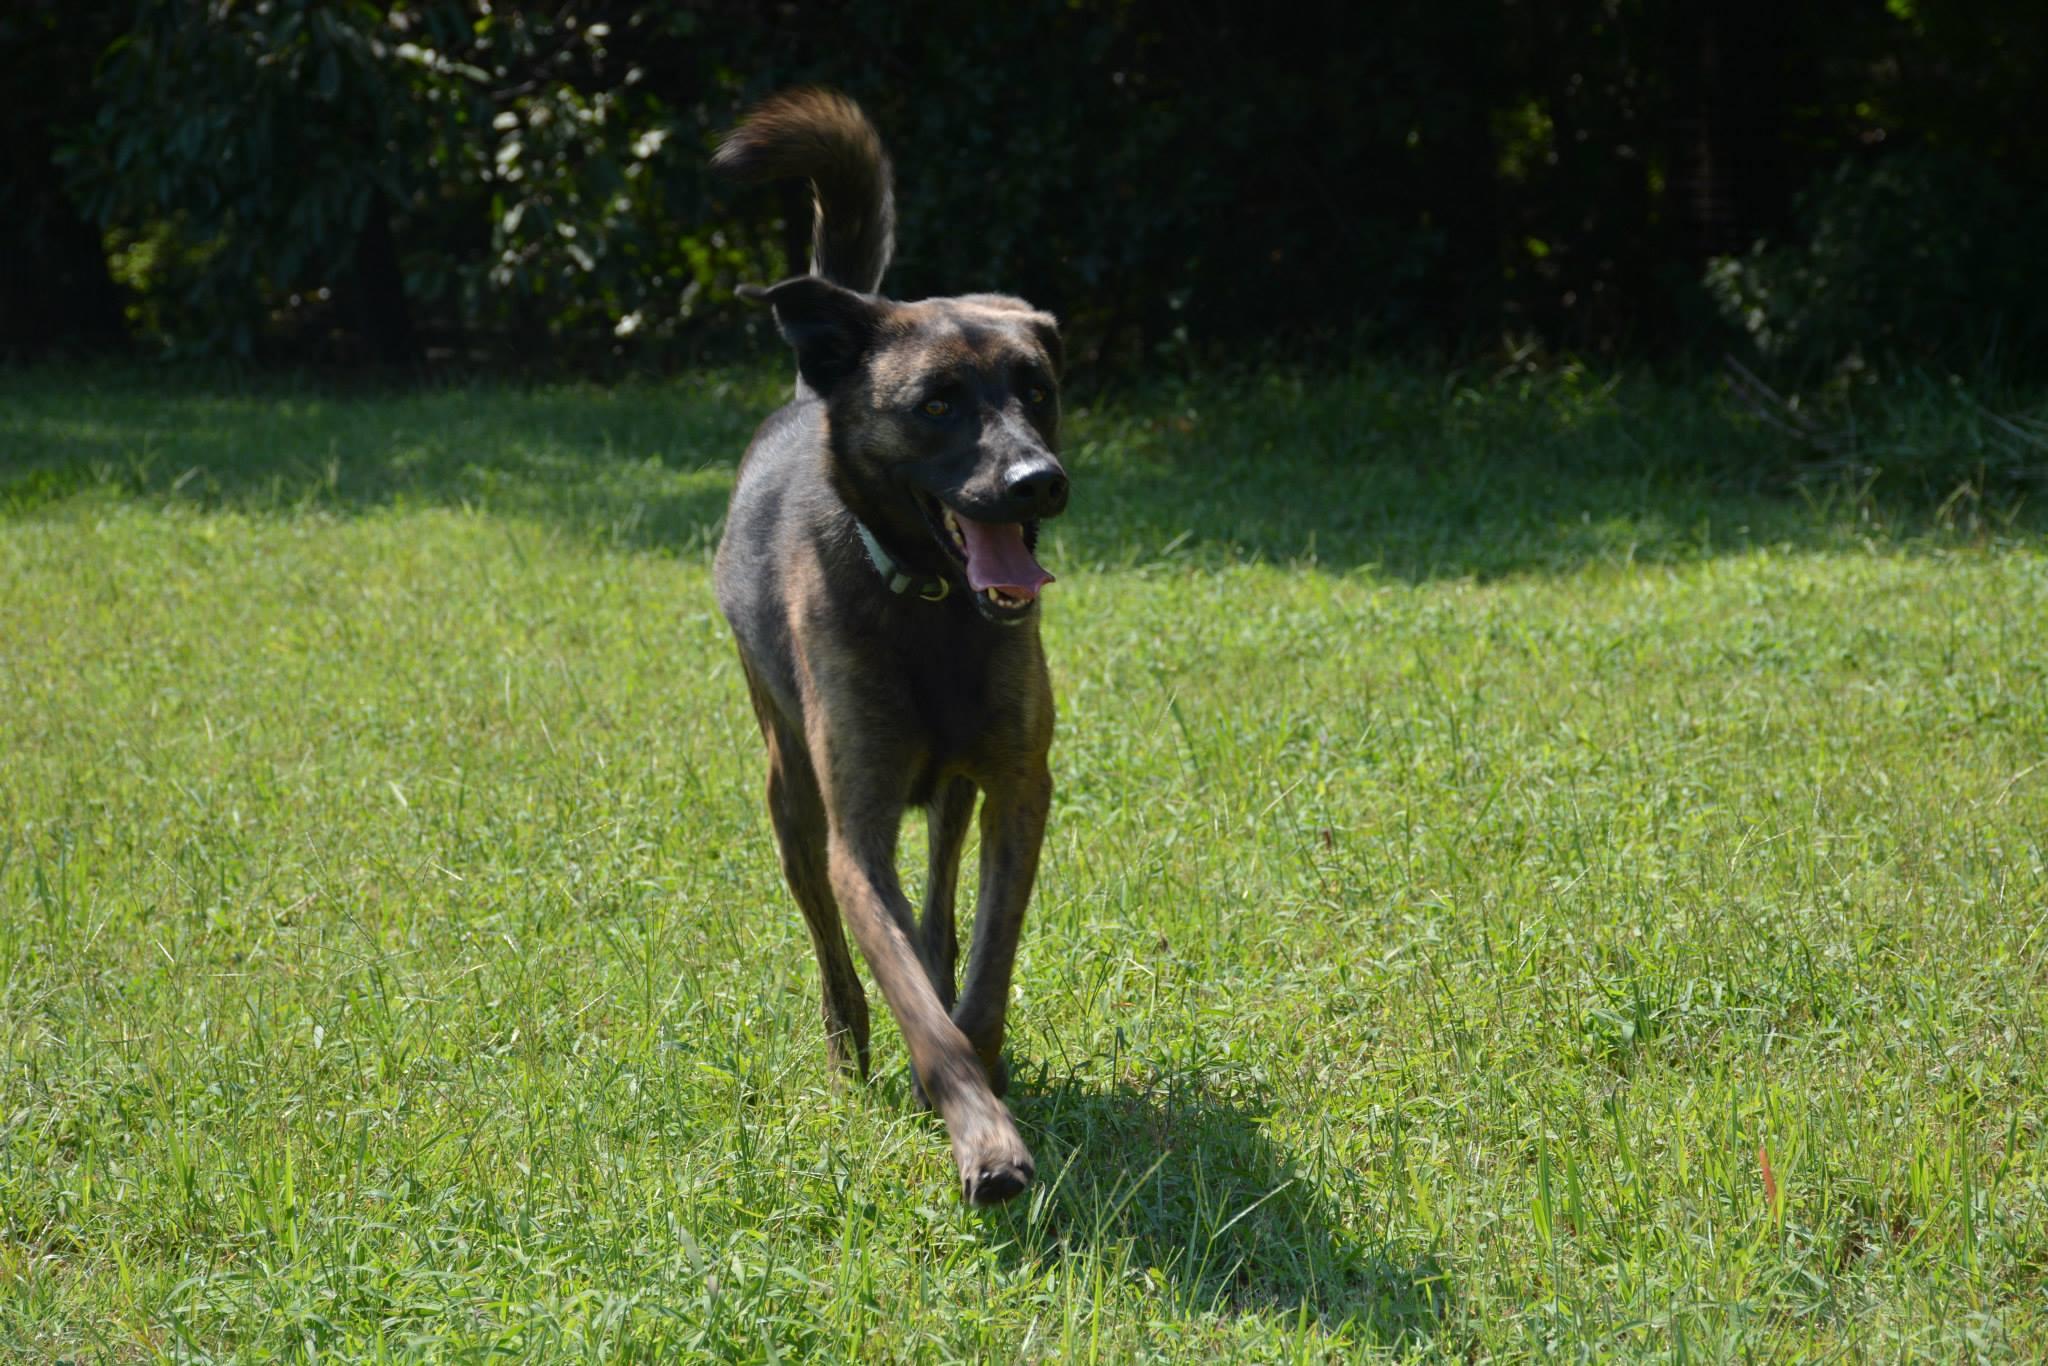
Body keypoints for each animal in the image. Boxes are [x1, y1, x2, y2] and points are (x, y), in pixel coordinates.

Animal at [712, 88, 1073, 1204]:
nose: (1040, 482)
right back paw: (851, 1052)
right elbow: (914, 1001)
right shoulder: (855, 830)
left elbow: (983, 974)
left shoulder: (1017, 787)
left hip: (952, 793)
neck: (930, 606)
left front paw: (984, 1072)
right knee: (841, 958)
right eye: (937, 402)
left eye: (1036, 388)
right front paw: (982, 1137)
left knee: (941, 906)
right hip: (789, 795)